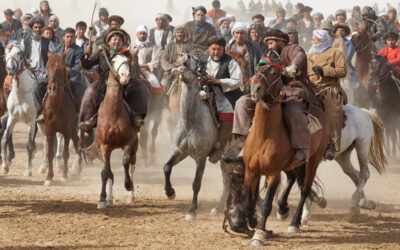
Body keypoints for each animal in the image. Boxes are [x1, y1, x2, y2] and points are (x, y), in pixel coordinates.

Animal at [1, 42, 37, 176]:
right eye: (6, 53)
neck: (21, 92)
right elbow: (4, 139)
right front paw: (5, 167)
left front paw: (28, 170)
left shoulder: (31, 121)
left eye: (18, 53)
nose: (10, 68)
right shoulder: (12, 118)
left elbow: (29, 145)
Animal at [36, 54, 82, 187]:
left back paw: (76, 170)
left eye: (61, 68)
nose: (52, 88)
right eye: (47, 66)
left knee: (78, 144)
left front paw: (64, 176)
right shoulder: (49, 130)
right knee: (78, 143)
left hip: (73, 129)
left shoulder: (66, 131)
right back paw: (77, 170)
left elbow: (66, 154)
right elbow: (50, 153)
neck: (57, 105)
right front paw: (49, 178)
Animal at [94, 51, 138, 208]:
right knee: (109, 173)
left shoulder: (128, 142)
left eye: (127, 61)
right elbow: (105, 172)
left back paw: (130, 196)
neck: (113, 112)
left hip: (135, 147)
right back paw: (109, 199)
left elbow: (125, 162)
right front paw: (102, 199)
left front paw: (128, 185)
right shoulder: (104, 146)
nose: (125, 76)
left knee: (131, 165)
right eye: (113, 61)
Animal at [162, 53, 230, 221]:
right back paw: (218, 208)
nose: (184, 55)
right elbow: (166, 167)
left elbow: (196, 184)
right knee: (227, 181)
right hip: (225, 159)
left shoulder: (201, 158)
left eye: (196, 60)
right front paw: (170, 193)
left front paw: (192, 211)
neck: (191, 122)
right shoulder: (180, 151)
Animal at [242, 65, 330, 246]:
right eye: (258, 69)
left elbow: (266, 205)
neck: (263, 135)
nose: (255, 88)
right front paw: (253, 223)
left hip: (313, 161)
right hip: (291, 164)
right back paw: (283, 208)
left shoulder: (273, 174)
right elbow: (248, 202)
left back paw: (295, 223)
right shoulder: (251, 171)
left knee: (305, 189)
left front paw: (259, 234)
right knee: (292, 177)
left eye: (275, 73)